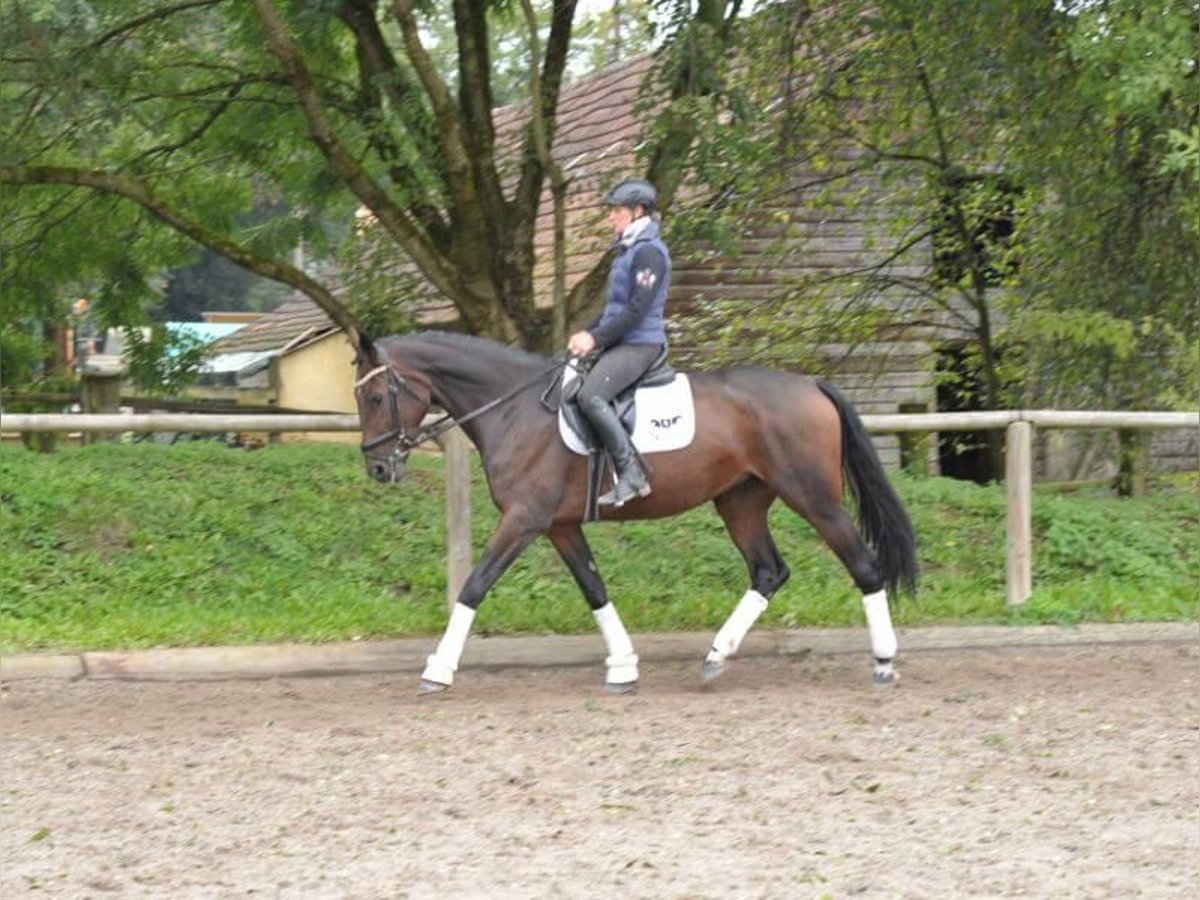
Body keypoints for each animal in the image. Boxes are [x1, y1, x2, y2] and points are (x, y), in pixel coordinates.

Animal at [350, 333, 916, 696]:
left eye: (376, 396)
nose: (378, 468)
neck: (514, 410)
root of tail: (810, 385)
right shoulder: (559, 526)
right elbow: (594, 589)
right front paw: (623, 667)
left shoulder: (524, 519)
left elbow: (474, 586)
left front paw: (438, 668)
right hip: (741, 501)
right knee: (768, 570)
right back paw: (715, 656)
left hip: (813, 496)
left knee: (863, 565)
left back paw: (885, 663)